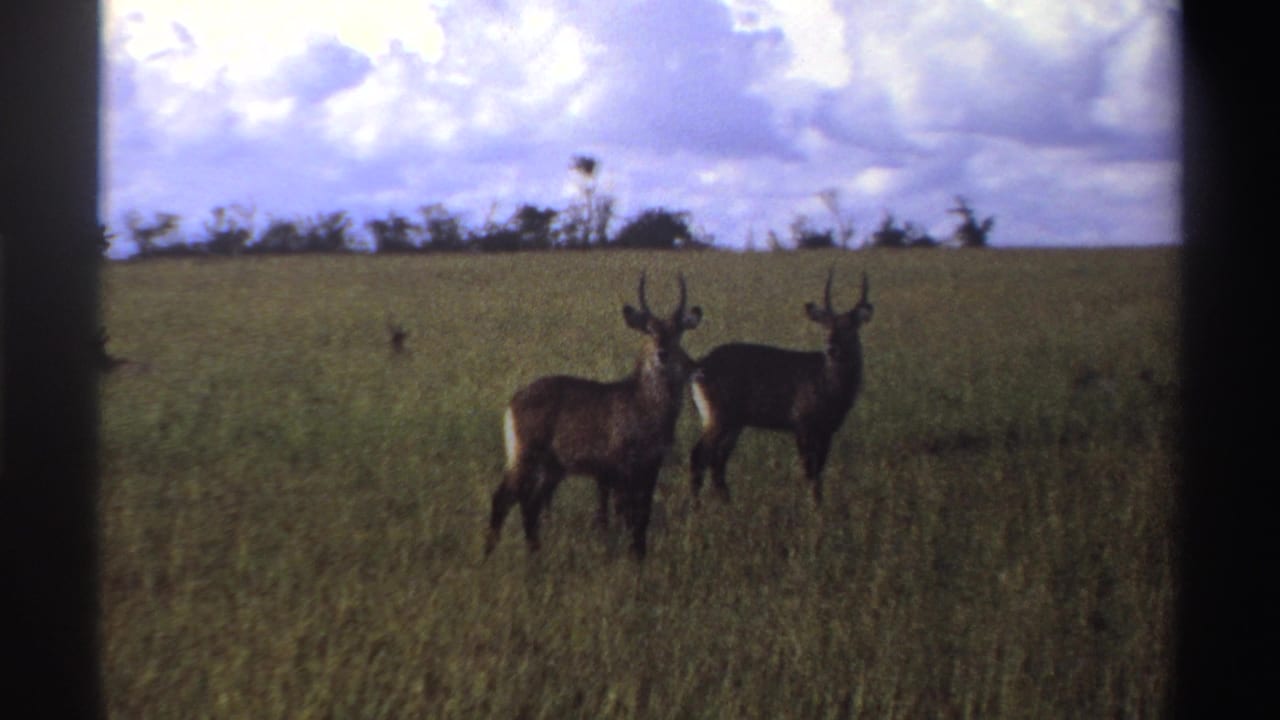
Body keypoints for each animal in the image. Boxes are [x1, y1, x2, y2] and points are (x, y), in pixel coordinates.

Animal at [485, 273, 703, 559]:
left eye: (677, 330)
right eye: (650, 330)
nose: (662, 353)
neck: (645, 405)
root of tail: (512, 402)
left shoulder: (652, 464)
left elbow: (643, 517)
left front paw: (640, 556)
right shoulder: (621, 466)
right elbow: (626, 516)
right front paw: (629, 557)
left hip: (552, 466)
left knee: (529, 504)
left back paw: (535, 554)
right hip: (526, 455)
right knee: (503, 498)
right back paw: (489, 556)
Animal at [689, 268, 872, 505]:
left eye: (850, 327)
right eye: (826, 326)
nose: (831, 348)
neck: (830, 385)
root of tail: (698, 366)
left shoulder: (827, 430)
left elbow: (819, 471)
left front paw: (820, 505)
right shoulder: (802, 423)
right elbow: (809, 471)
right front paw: (814, 508)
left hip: (734, 421)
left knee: (717, 461)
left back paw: (727, 504)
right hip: (718, 416)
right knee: (699, 456)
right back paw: (697, 507)